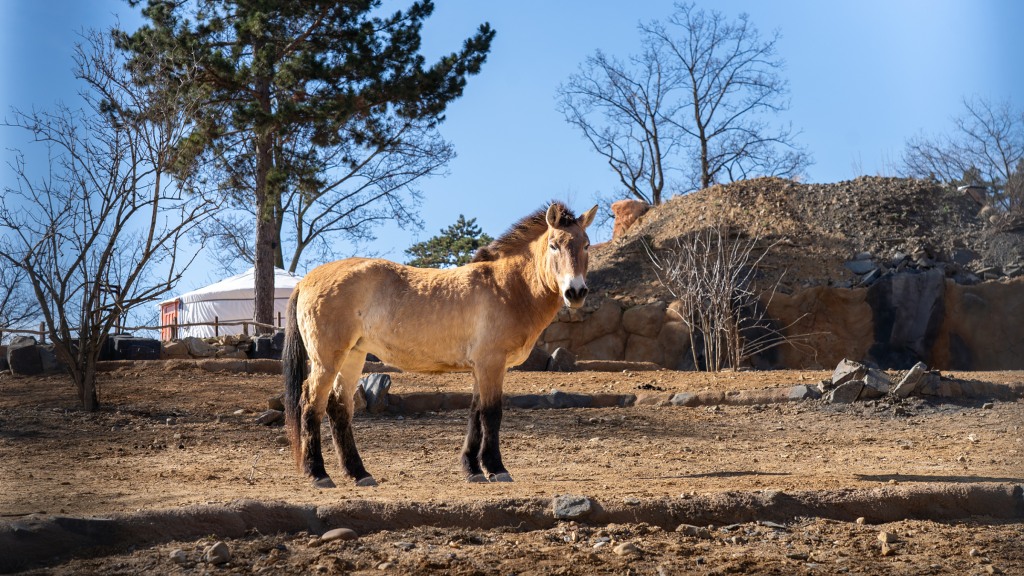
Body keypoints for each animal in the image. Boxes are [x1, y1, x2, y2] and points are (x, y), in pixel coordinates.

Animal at [282, 201, 598, 483]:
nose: (576, 292)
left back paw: (359, 473)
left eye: (586, 244)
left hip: (353, 355)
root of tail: (306, 280)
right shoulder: (491, 364)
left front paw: (472, 469)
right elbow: (491, 414)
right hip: (327, 360)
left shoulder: (481, 368)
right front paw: (496, 469)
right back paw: (318, 474)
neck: (506, 287)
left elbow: (475, 413)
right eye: (554, 245)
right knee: (311, 404)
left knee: (339, 407)